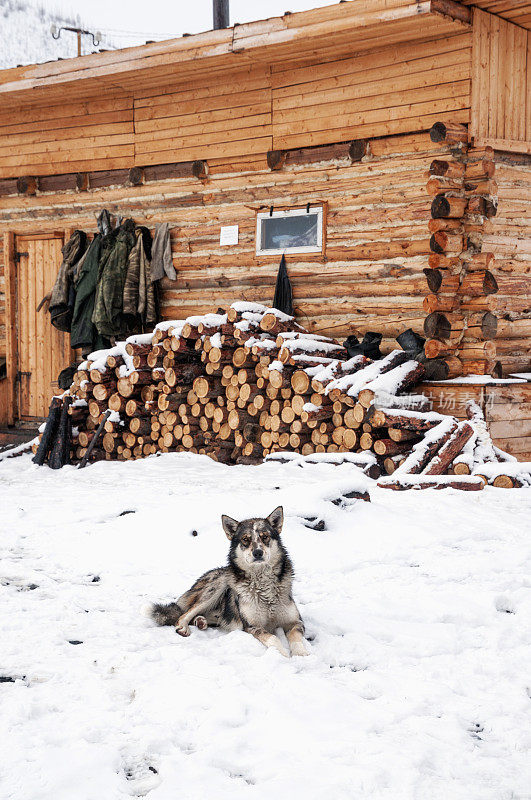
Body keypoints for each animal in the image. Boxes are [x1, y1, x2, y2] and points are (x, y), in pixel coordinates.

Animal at [150, 506, 308, 656]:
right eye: (245, 539)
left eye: (265, 537)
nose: (258, 553)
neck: (263, 584)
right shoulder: (252, 626)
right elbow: (273, 638)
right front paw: (283, 654)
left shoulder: (296, 622)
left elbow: (296, 638)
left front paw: (301, 655)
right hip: (217, 585)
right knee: (184, 614)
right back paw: (184, 627)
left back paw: (201, 621)